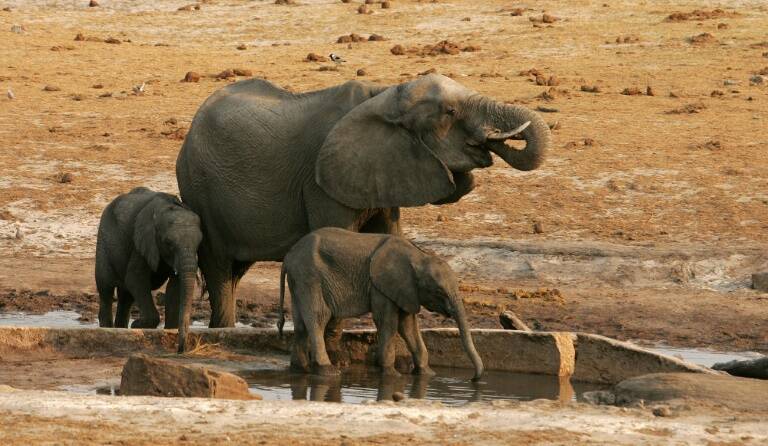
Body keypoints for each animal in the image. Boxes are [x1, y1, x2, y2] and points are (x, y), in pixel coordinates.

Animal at [95, 187, 202, 352]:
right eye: (168, 242)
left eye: (200, 243)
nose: (181, 350)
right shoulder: (142, 242)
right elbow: (135, 279)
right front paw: (136, 325)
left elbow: (175, 286)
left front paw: (170, 329)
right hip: (104, 240)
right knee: (106, 289)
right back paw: (108, 328)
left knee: (126, 297)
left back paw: (121, 328)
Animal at [177, 74, 548, 328]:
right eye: (450, 111)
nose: (490, 143)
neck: (384, 95)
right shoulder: (321, 182)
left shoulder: (384, 169)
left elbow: (391, 236)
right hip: (200, 188)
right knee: (219, 269)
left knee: (234, 273)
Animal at [280, 226, 484, 380]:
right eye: (439, 292)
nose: (473, 379)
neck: (418, 256)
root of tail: (288, 256)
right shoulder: (381, 286)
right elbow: (388, 322)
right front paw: (392, 375)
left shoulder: (406, 290)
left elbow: (407, 325)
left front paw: (427, 374)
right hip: (309, 276)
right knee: (318, 318)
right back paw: (328, 372)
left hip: (299, 280)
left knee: (300, 324)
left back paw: (300, 369)